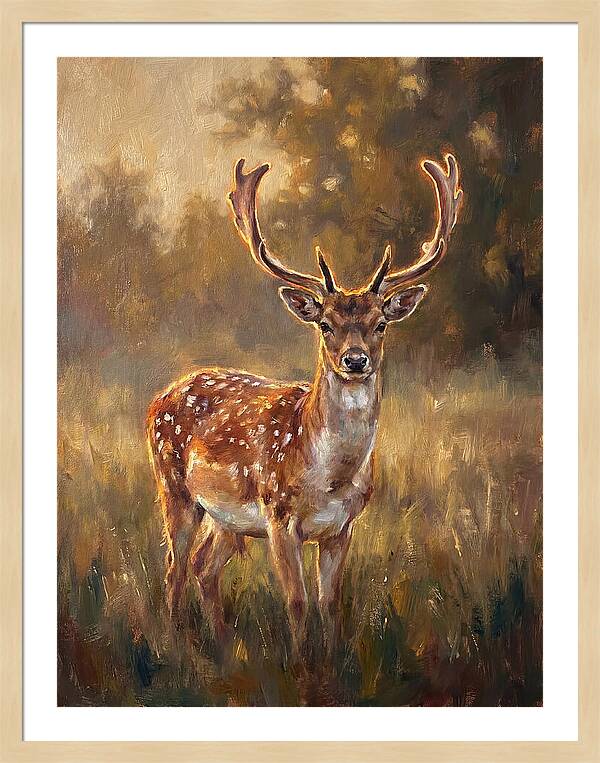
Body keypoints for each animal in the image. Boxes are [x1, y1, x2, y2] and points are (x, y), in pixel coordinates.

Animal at [146, 153, 463, 661]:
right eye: (326, 324)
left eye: (380, 324)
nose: (355, 360)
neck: (329, 478)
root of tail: (162, 395)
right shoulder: (279, 517)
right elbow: (296, 602)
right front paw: (300, 666)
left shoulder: (342, 527)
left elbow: (329, 603)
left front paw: (330, 662)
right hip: (174, 488)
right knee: (174, 567)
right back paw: (177, 646)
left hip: (226, 518)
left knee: (202, 566)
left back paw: (223, 645)